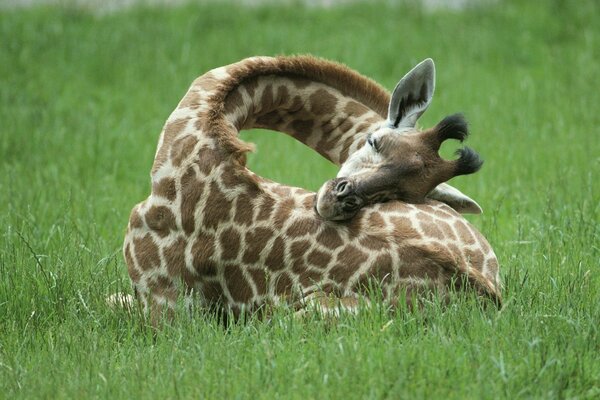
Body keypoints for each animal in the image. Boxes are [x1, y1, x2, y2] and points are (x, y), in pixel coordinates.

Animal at [123, 55, 502, 324]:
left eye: (408, 191)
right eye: (374, 142)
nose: (342, 199)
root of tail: (489, 294)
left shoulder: (164, 302)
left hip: (300, 315)